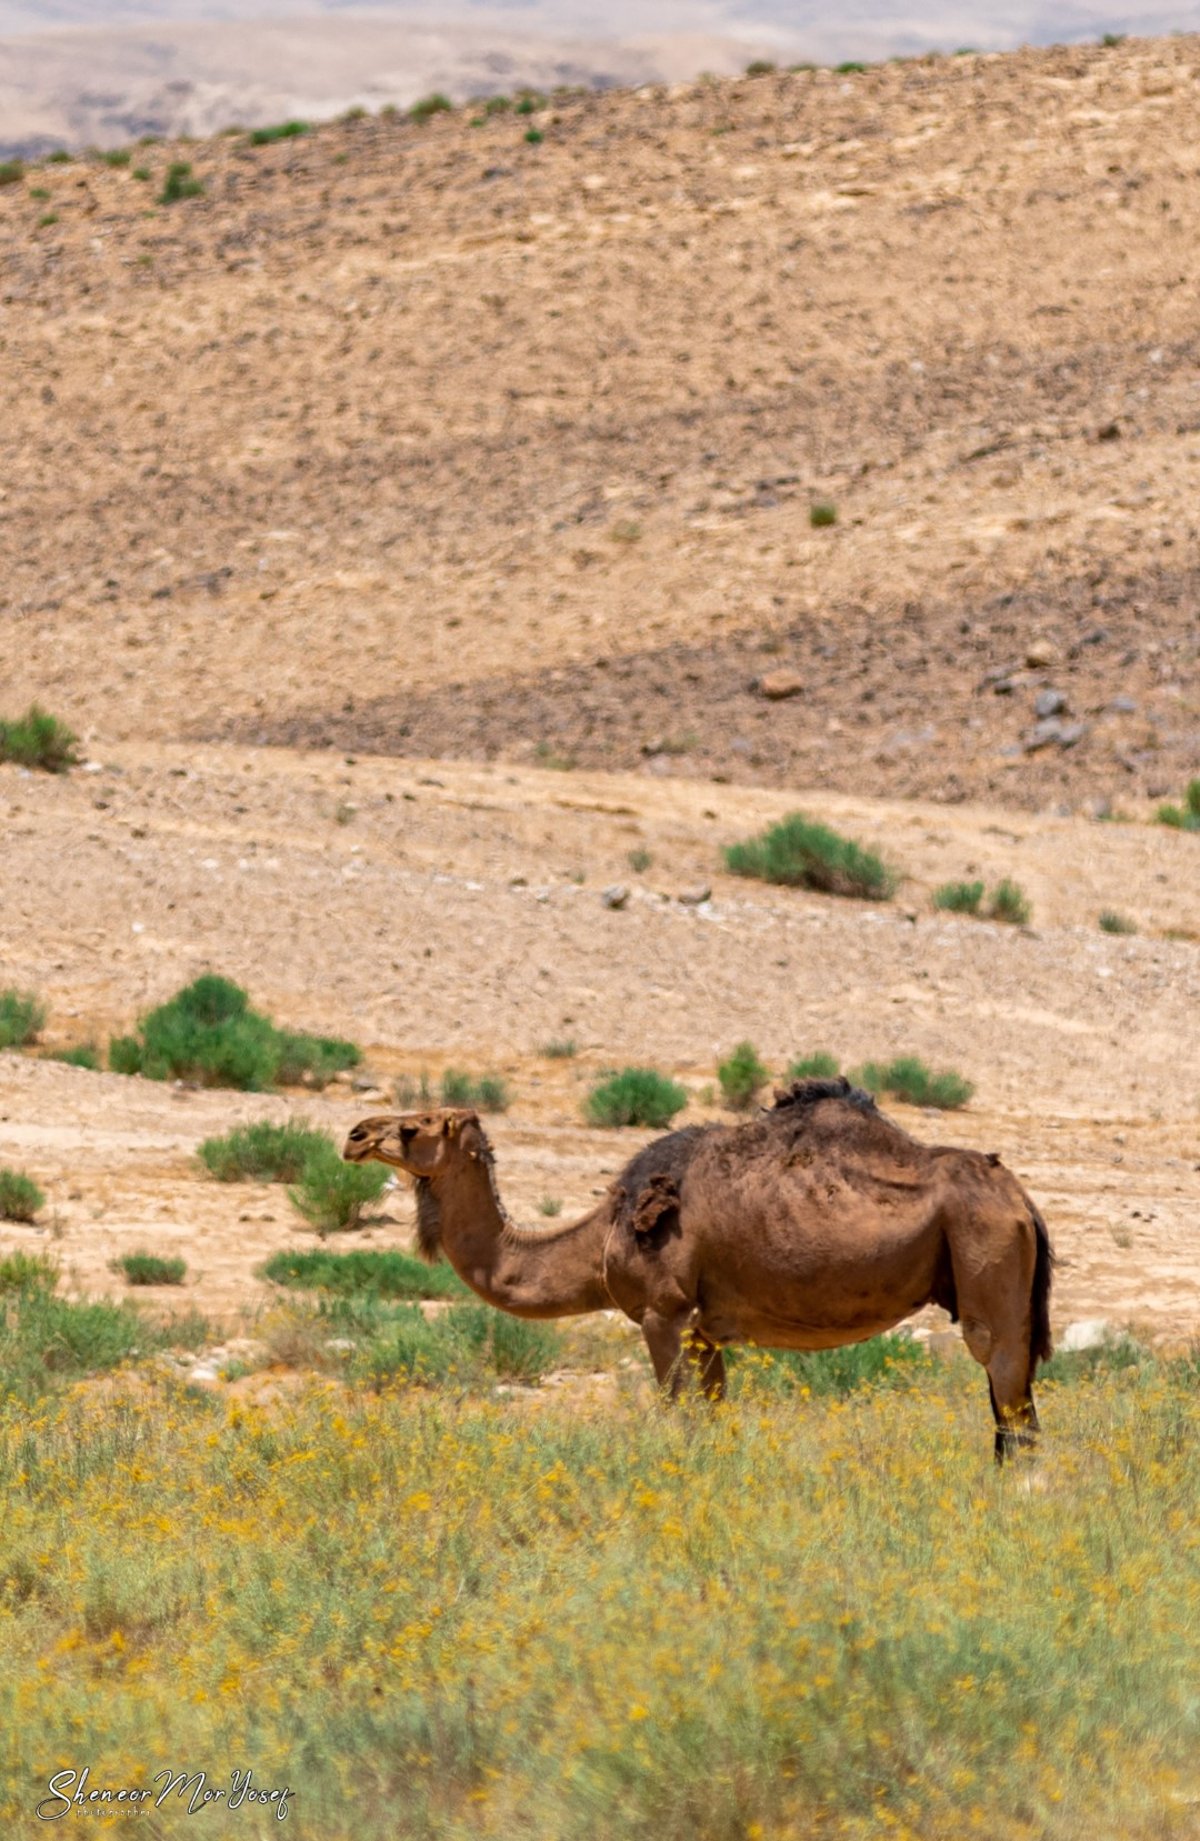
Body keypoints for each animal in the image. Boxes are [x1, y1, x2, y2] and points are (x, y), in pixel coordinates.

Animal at [342, 1075, 1052, 1458]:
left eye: (416, 1126)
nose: (355, 1135)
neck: (603, 1234)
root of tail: (1022, 1200)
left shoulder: (666, 1313)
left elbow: (678, 1418)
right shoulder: (708, 1331)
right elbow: (713, 1420)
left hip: (986, 1256)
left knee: (1008, 1392)